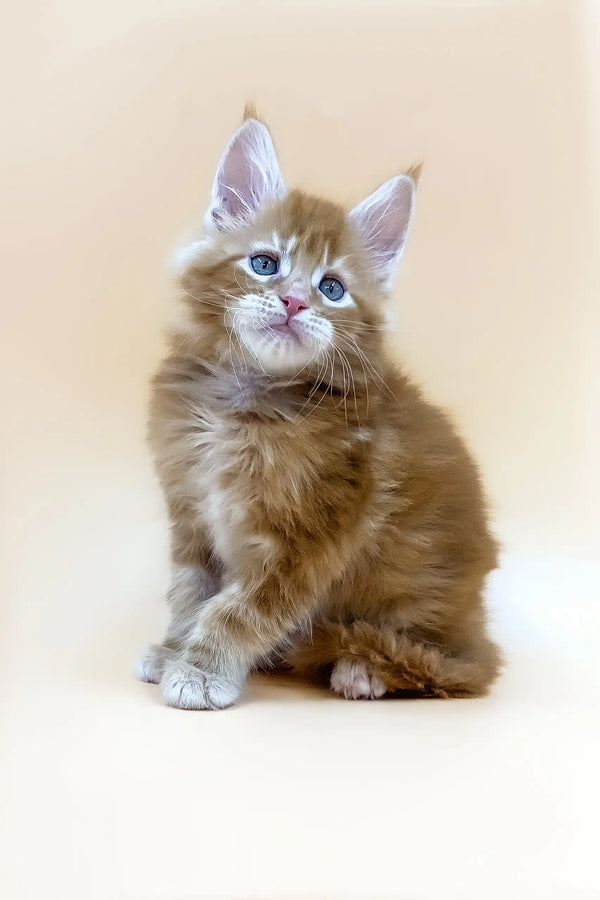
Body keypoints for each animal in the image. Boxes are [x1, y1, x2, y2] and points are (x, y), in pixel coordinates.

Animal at [136, 107, 502, 712]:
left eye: (332, 288)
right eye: (264, 263)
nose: (293, 302)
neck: (246, 402)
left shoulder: (309, 539)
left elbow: (238, 611)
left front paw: (203, 672)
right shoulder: (193, 516)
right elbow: (191, 595)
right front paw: (173, 651)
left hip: (417, 597)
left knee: (446, 666)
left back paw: (361, 669)